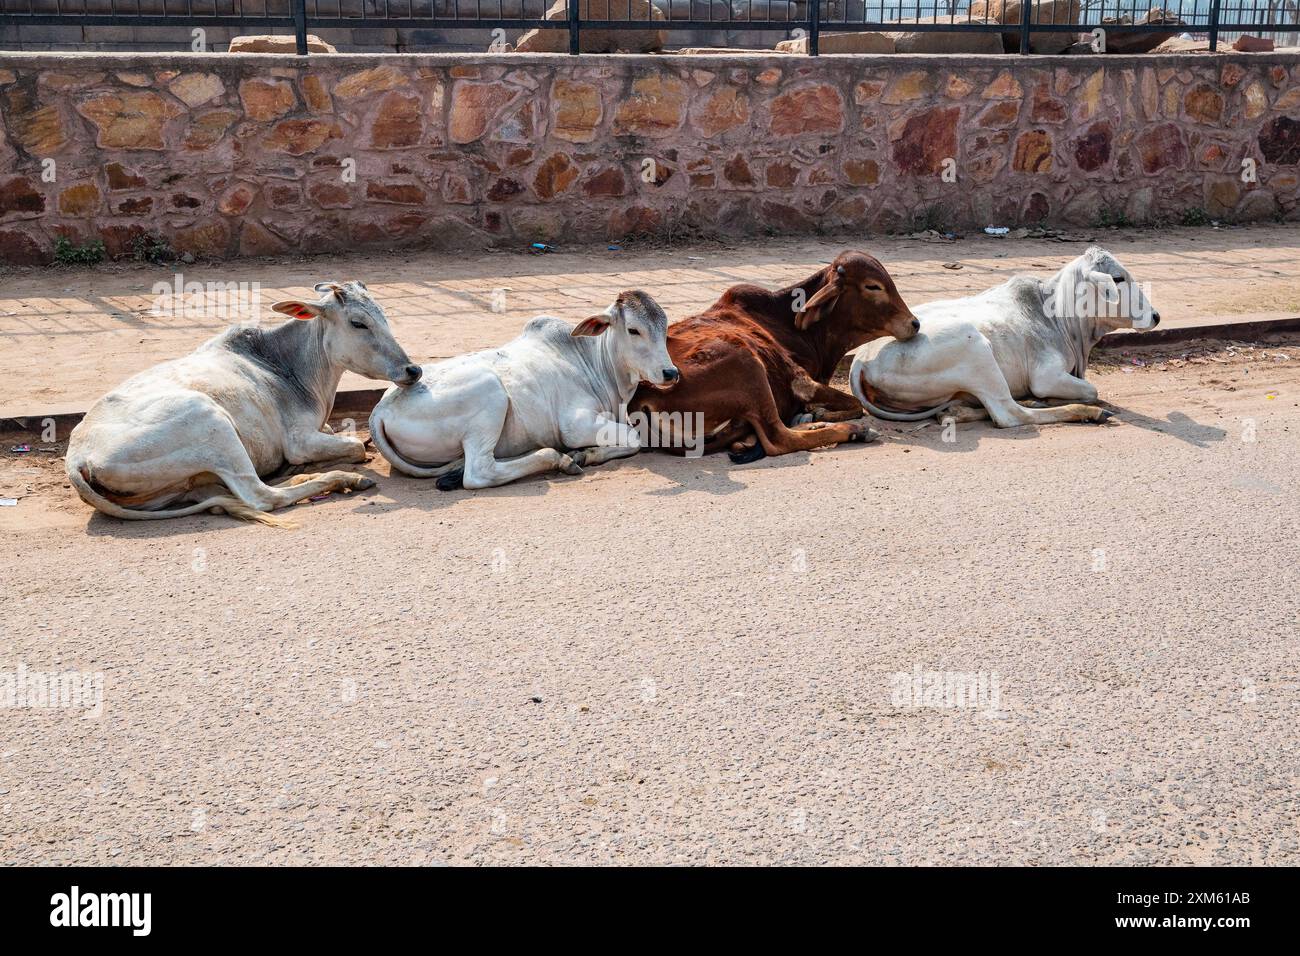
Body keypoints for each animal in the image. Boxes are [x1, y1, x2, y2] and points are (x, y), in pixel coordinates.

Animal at [65, 280, 421, 528]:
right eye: (358, 322)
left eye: (383, 316)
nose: (412, 369)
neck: (285, 365)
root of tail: (77, 458)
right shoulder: (300, 441)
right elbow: (357, 446)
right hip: (211, 422)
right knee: (261, 495)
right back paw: (342, 479)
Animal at [364, 287, 670, 489]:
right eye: (633, 330)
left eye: (664, 327)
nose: (671, 372)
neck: (595, 362)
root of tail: (381, 409)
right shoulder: (575, 424)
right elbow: (634, 439)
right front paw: (581, 454)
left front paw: (587, 453)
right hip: (490, 394)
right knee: (479, 472)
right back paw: (556, 459)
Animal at [631, 248, 920, 463]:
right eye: (873, 286)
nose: (914, 323)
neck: (789, 321)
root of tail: (645, 396)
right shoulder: (801, 381)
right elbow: (855, 403)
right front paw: (822, 414)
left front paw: (813, 415)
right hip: (749, 367)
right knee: (779, 440)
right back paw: (852, 431)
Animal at [847, 247, 1164, 426]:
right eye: (1118, 278)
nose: (1156, 316)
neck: (1058, 316)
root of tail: (860, 360)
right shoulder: (1045, 376)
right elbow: (1091, 391)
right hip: (976, 349)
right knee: (1009, 414)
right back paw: (1082, 412)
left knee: (966, 406)